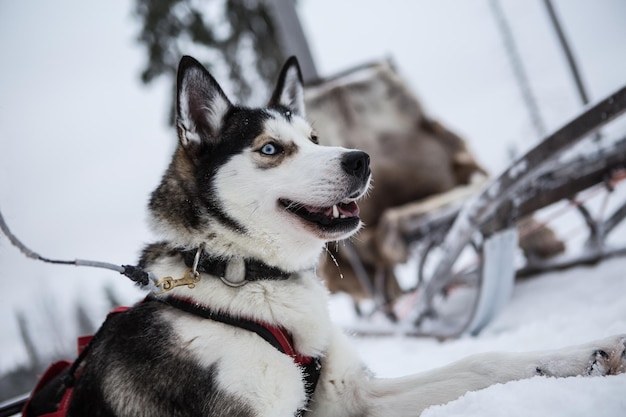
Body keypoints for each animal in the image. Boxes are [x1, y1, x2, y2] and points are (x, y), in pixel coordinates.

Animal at [57, 56, 620, 416]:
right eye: (270, 149)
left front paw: (590, 353)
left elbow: (482, 362)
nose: (362, 159)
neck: (246, 276)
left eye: (312, 138)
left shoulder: (350, 395)